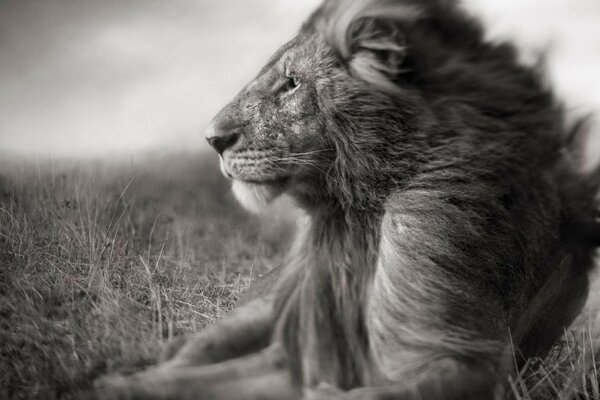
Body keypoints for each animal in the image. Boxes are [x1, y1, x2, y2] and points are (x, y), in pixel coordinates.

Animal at [96, 0, 600, 398]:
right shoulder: (298, 352)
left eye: (292, 83)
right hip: (259, 312)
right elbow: (191, 380)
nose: (212, 139)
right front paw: (115, 386)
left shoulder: (465, 359)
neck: (356, 215)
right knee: (190, 352)